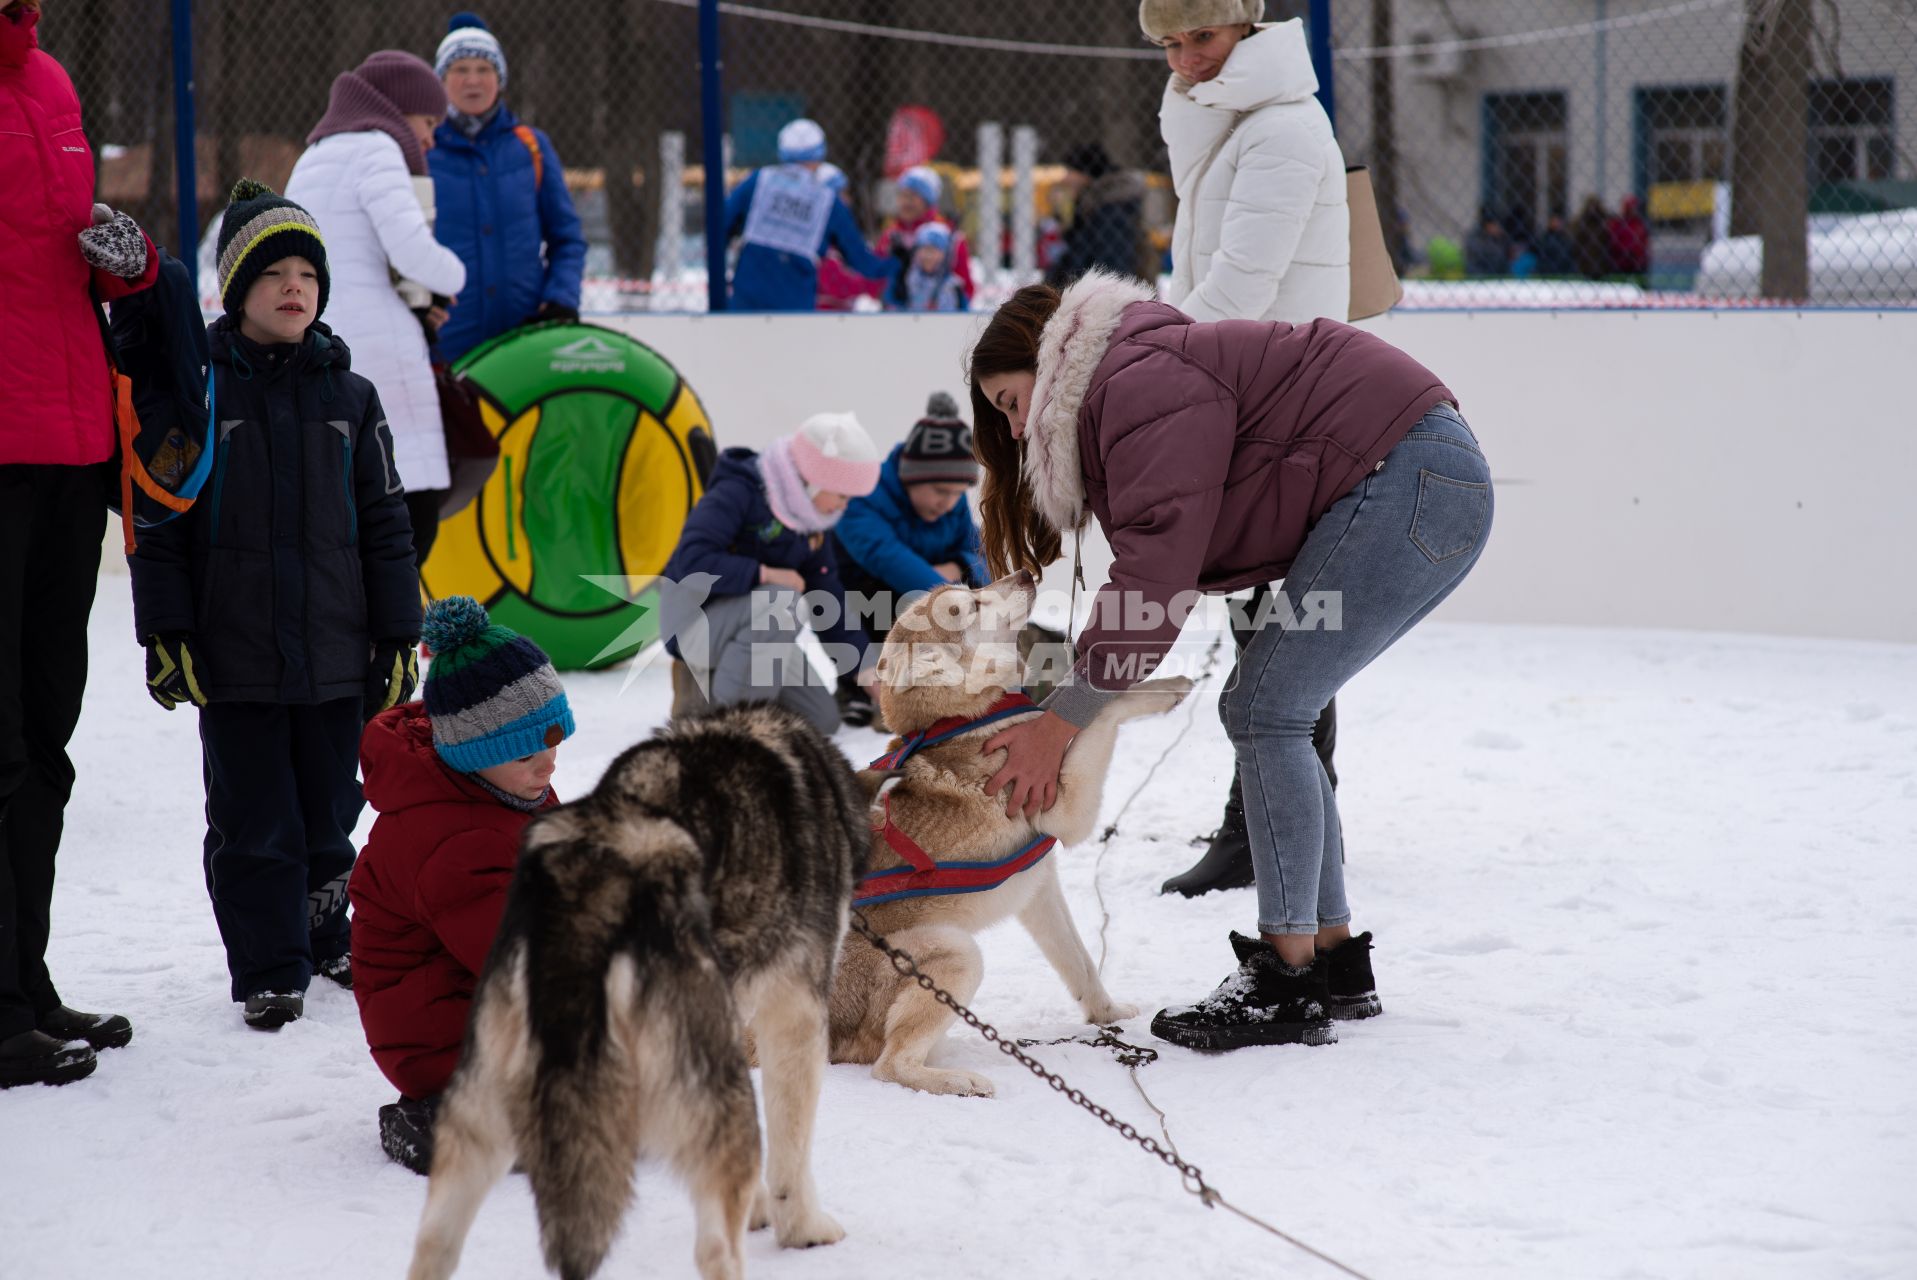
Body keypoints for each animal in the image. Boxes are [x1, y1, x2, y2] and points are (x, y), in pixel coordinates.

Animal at [415, 705, 874, 1272]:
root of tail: (596, 870)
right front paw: (803, 1229)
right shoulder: (795, 1016)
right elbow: (791, 1153)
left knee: (433, 1239)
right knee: (715, 1249)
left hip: (477, 1114)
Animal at [831, 574, 1188, 1096]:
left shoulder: (1040, 889)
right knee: (890, 1065)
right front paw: (1164, 691)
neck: (965, 720)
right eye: (970, 606)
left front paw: (1106, 1014)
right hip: (957, 953)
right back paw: (960, 1081)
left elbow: (1081, 963)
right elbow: (1100, 714)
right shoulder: (1068, 810)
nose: (1025, 574)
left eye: (969, 587)